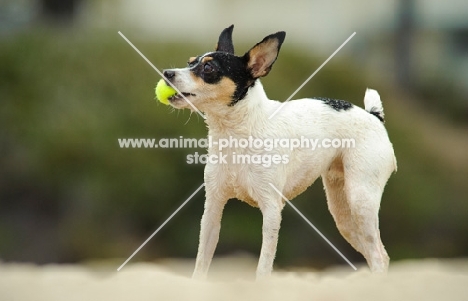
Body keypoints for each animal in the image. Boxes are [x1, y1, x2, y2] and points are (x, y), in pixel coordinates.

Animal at [161, 24, 394, 278]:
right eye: (189, 62)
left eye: (208, 68)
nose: (167, 73)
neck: (236, 135)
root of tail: (373, 116)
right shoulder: (213, 209)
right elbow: (202, 262)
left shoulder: (271, 210)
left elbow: (264, 266)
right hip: (343, 214)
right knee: (375, 254)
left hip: (361, 200)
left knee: (379, 256)